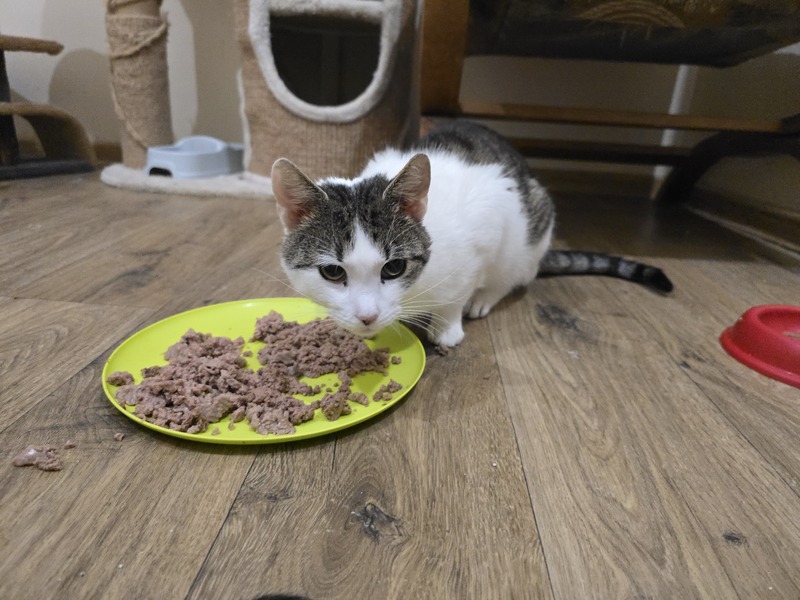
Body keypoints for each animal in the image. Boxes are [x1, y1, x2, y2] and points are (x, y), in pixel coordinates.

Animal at [270, 121, 672, 349]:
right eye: (332, 272)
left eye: (394, 268)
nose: (367, 317)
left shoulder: (489, 223)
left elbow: (458, 291)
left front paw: (448, 324)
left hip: (530, 232)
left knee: (514, 275)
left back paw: (484, 298)